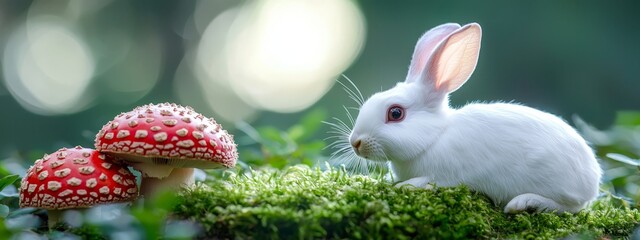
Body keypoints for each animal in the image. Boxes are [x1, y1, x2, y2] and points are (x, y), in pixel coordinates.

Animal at [348, 23, 604, 214]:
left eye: (395, 113)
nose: (355, 142)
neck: (435, 137)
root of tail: (593, 179)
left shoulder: (443, 175)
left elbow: (423, 182)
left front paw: (405, 186)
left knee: (569, 207)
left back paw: (524, 203)